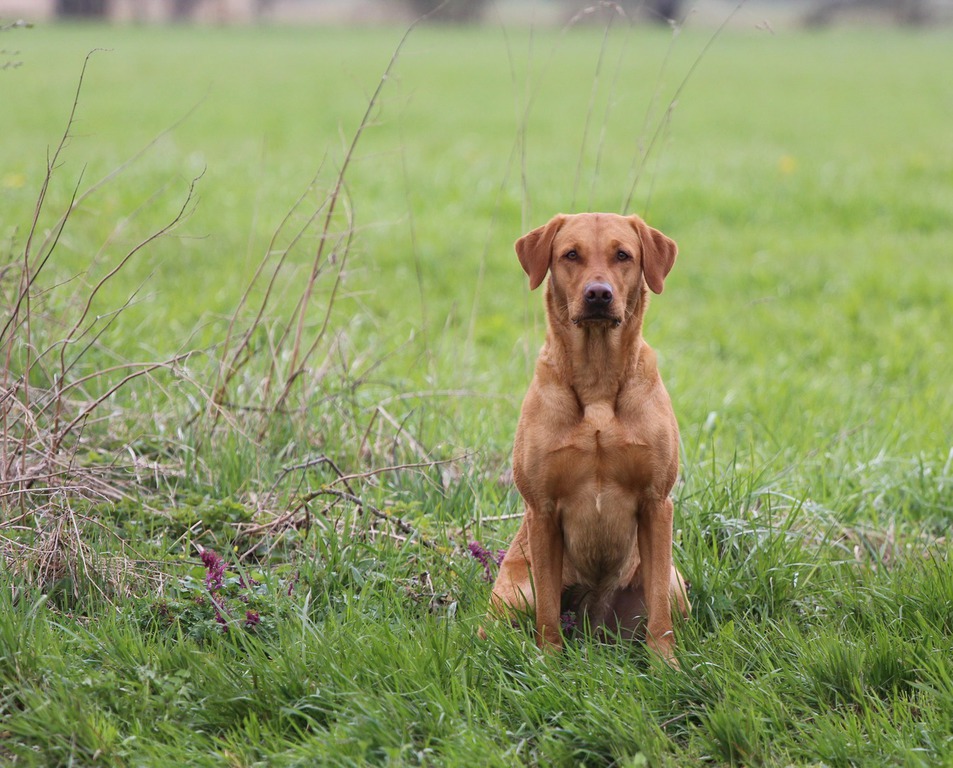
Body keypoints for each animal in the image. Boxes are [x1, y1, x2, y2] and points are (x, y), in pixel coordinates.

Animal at [485, 212, 690, 664]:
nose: (598, 294)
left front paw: (666, 666)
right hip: (514, 593)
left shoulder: (657, 502)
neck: (597, 382)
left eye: (623, 255)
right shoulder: (542, 509)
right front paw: (547, 662)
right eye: (571, 255)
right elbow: (547, 610)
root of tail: (592, 627)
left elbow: (660, 616)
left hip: (673, 582)